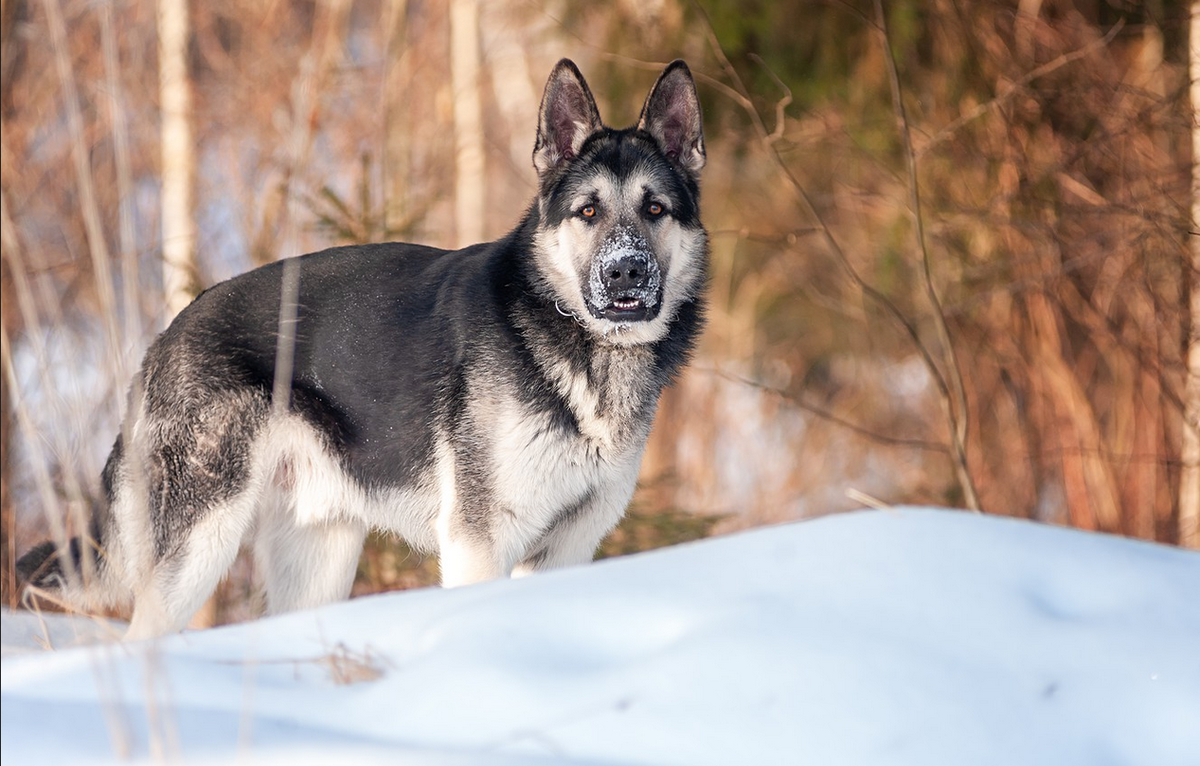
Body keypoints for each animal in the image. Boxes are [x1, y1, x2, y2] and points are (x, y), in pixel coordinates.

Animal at [18, 58, 705, 643]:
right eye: (588, 211)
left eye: (654, 209)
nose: (625, 273)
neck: (575, 339)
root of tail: (166, 336)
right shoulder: (481, 544)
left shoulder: (569, 550)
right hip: (201, 545)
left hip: (317, 561)